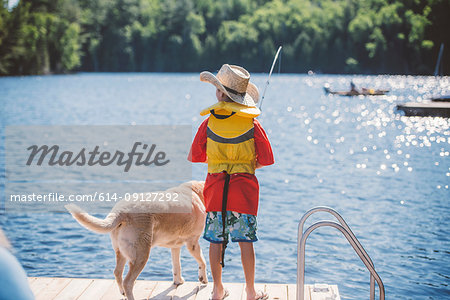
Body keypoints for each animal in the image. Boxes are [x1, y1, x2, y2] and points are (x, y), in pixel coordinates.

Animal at [64, 180, 207, 300]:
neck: (195, 192)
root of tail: (120, 211)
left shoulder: (175, 246)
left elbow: (176, 266)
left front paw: (178, 281)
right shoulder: (193, 243)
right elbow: (203, 261)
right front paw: (203, 279)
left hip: (121, 251)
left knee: (117, 273)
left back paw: (122, 292)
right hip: (141, 255)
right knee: (128, 282)